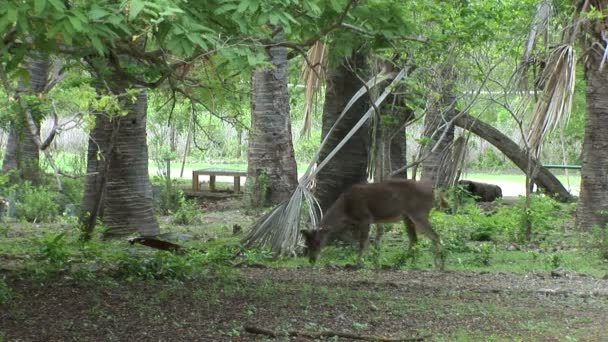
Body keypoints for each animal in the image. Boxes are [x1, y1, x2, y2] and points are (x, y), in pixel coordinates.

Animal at [302, 179, 444, 270]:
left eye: (317, 242)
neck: (345, 209)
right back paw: (407, 264)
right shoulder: (353, 224)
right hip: (407, 217)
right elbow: (356, 241)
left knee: (435, 236)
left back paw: (439, 265)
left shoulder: (365, 218)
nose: (311, 260)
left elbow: (362, 242)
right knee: (414, 240)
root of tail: (434, 190)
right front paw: (372, 262)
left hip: (419, 213)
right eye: (306, 243)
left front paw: (360, 263)